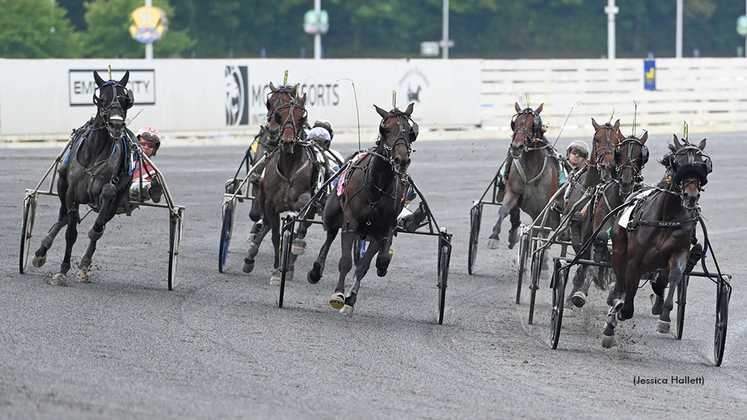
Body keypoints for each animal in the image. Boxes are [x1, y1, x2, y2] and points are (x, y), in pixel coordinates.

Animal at [30, 71, 136, 286]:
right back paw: (41, 252)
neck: (95, 152)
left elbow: (100, 220)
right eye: (101, 99)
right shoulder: (72, 193)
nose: (116, 124)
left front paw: (93, 235)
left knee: (99, 222)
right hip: (62, 186)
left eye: (125, 99)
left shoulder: (111, 191)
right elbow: (70, 233)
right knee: (63, 217)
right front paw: (62, 271)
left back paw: (84, 265)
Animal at [243, 95, 318, 284]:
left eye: (301, 117)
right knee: (266, 225)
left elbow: (304, 208)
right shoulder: (270, 205)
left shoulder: (304, 197)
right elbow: (275, 236)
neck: (289, 166)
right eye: (279, 115)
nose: (287, 142)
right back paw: (250, 256)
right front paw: (277, 271)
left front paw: (298, 242)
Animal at [306, 103, 420, 316]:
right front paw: (338, 295)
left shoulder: (382, 230)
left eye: (411, 131)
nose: (401, 160)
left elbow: (369, 264)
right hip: (332, 212)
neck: (377, 187)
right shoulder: (350, 223)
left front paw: (351, 299)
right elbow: (345, 261)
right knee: (330, 233)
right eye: (386, 129)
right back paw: (316, 271)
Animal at [488, 102, 560, 249]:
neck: (531, 168)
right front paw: (494, 237)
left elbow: (539, 230)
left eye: (533, 124)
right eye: (514, 123)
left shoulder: (543, 209)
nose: (517, 147)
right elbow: (503, 210)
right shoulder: (512, 192)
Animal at [600, 135, 712, 348]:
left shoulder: (678, 252)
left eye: (702, 164)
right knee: (621, 282)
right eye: (677, 163)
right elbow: (627, 301)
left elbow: (675, 275)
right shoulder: (635, 261)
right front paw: (618, 311)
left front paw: (664, 318)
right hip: (619, 250)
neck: (666, 216)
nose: (691, 196)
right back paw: (613, 314)